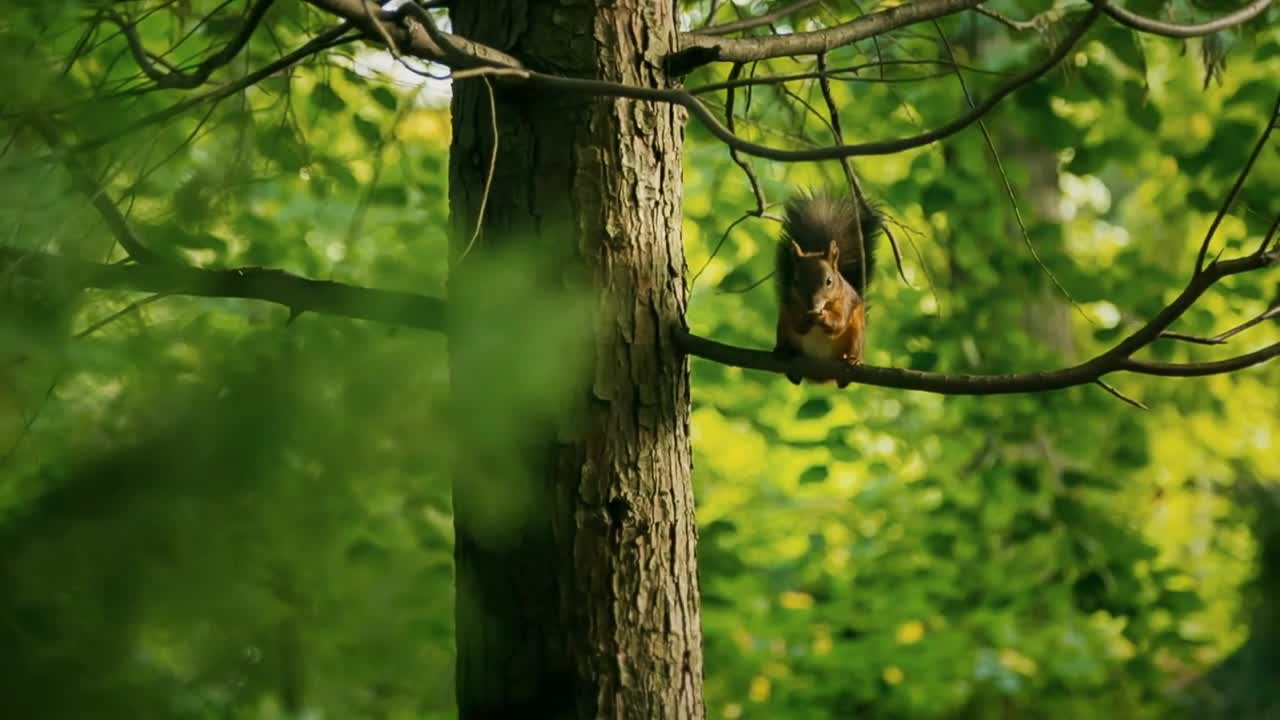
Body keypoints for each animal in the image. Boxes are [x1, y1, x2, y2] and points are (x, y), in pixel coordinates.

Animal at [768, 188, 880, 384]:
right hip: (782, 327)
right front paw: (806, 318)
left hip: (857, 333)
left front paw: (822, 316)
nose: (813, 306)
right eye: (796, 281)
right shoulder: (790, 301)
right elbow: (798, 324)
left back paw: (852, 360)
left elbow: (839, 323)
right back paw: (784, 353)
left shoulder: (846, 302)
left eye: (829, 281)